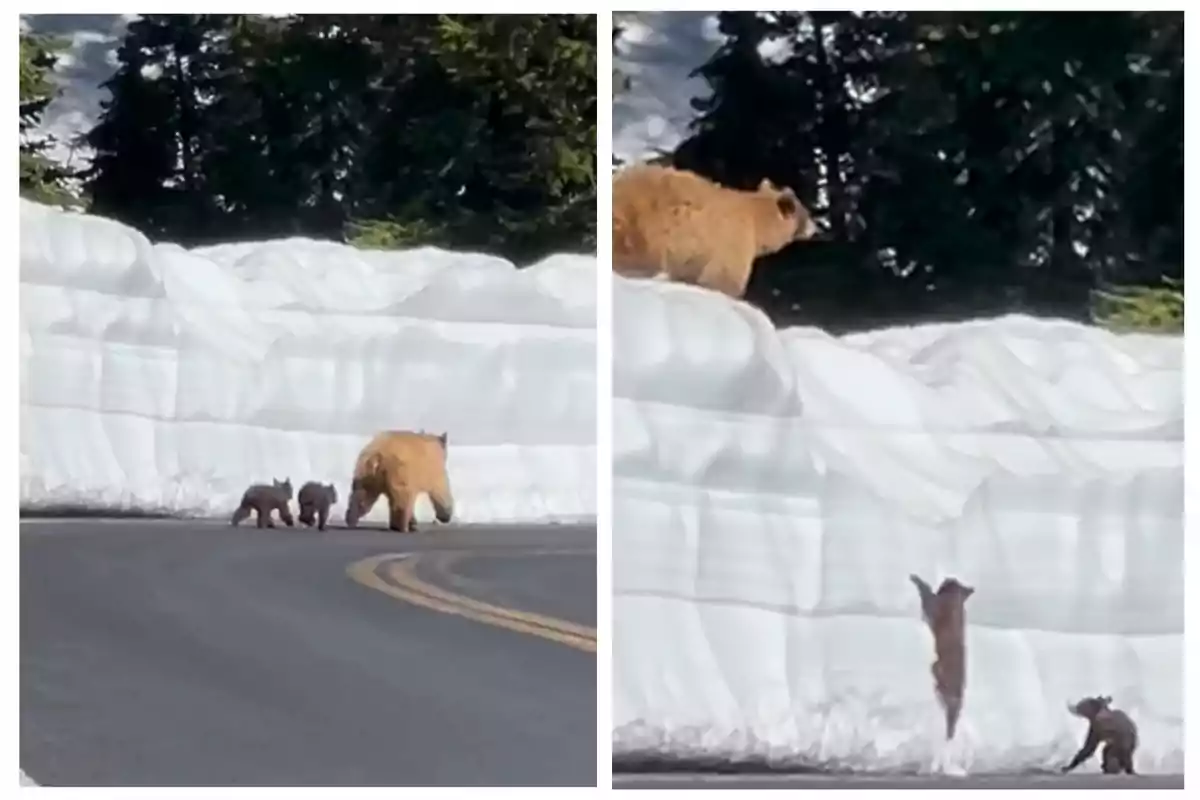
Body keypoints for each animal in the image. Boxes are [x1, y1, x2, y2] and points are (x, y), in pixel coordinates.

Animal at [614, 165, 820, 299]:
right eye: (806, 212)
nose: (815, 227)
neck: (758, 224)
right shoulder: (731, 241)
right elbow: (724, 279)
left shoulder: (694, 252)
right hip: (645, 226)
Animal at [907, 573, 974, 743]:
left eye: (949, 583)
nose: (949, 578)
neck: (955, 599)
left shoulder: (932, 607)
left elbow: (926, 596)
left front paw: (916, 580)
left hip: (936, 667)